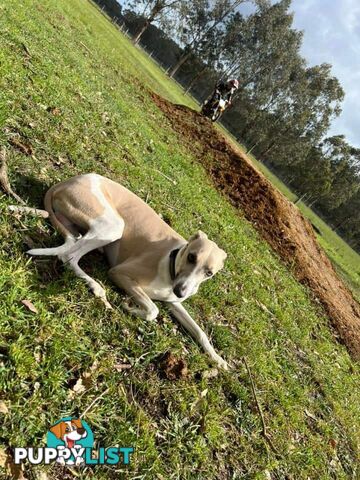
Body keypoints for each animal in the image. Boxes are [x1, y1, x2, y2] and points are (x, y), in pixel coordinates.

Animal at [26, 174, 228, 370]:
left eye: (209, 273)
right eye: (192, 257)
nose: (181, 291)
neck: (172, 262)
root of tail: (68, 181)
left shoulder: (173, 303)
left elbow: (200, 332)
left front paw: (218, 359)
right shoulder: (120, 273)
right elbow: (153, 310)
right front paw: (130, 308)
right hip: (113, 225)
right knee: (68, 256)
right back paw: (95, 285)